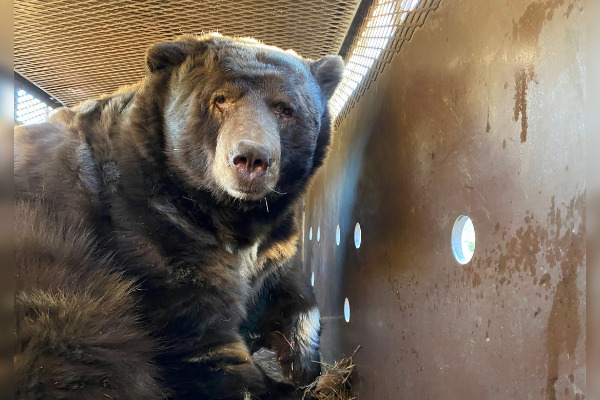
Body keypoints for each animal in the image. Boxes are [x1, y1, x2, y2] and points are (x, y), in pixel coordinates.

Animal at [12, 34, 342, 400]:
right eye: (220, 99)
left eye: (285, 109)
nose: (251, 158)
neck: (230, 214)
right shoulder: (154, 233)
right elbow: (203, 342)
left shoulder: (275, 243)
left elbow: (291, 287)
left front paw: (302, 361)